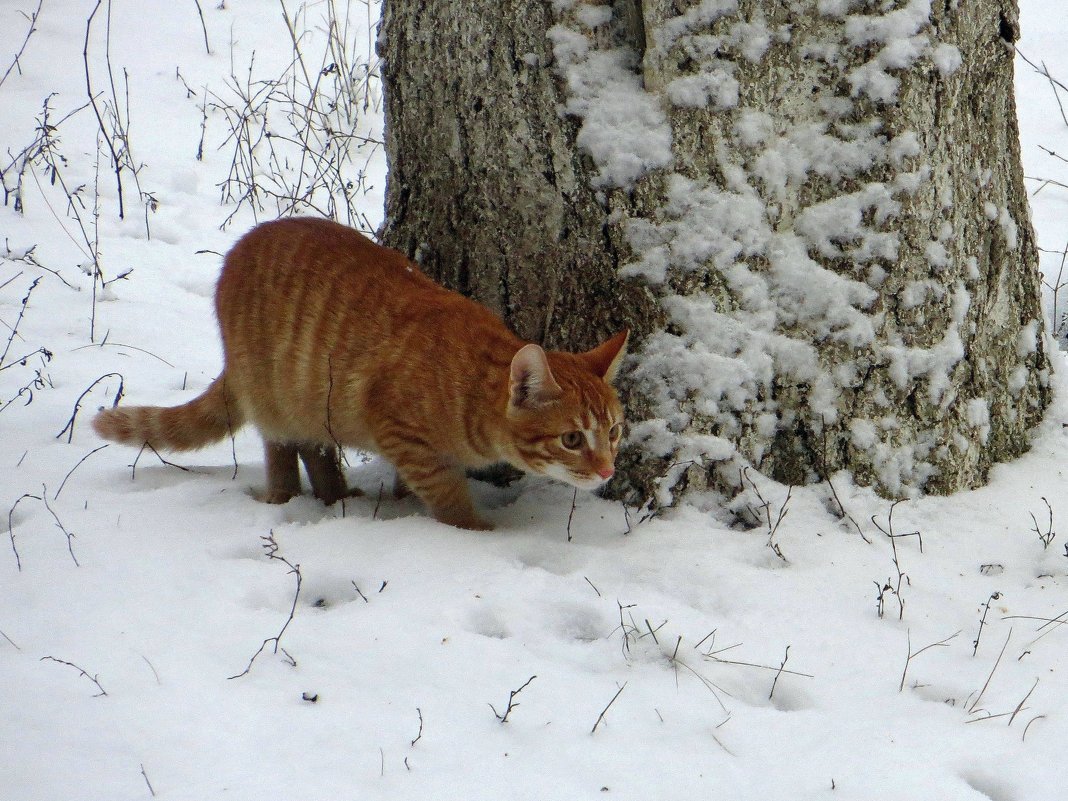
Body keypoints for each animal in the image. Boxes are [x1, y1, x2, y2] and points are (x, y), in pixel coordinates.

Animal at [93, 217, 623, 534]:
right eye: (572, 439)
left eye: (615, 432)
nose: (607, 470)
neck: (471, 383)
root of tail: (240, 246)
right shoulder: (403, 435)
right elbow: (447, 494)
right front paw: (476, 531)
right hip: (277, 396)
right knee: (283, 447)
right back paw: (288, 498)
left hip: (310, 403)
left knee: (317, 448)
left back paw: (337, 495)